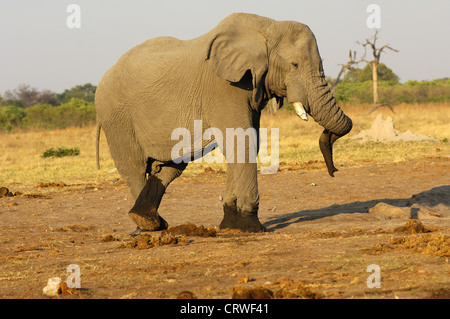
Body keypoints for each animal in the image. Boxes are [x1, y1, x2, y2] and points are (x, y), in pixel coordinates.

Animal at [95, 13, 354, 235]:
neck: (267, 27)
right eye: (295, 65)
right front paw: (252, 227)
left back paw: (149, 220)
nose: (334, 171)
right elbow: (242, 140)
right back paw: (146, 227)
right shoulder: (223, 86)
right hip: (117, 117)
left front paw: (231, 225)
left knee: (170, 166)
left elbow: (246, 142)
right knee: (135, 168)